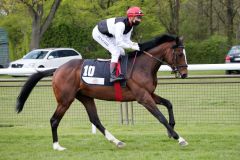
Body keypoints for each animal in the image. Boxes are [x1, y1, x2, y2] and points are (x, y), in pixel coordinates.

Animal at [16, 33, 189, 150]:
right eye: (180, 54)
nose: (185, 74)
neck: (142, 66)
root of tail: (57, 69)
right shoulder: (143, 97)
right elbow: (160, 117)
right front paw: (178, 137)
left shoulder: (149, 94)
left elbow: (169, 104)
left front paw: (171, 130)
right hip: (65, 100)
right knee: (54, 120)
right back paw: (57, 146)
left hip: (85, 97)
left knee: (95, 120)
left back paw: (117, 141)